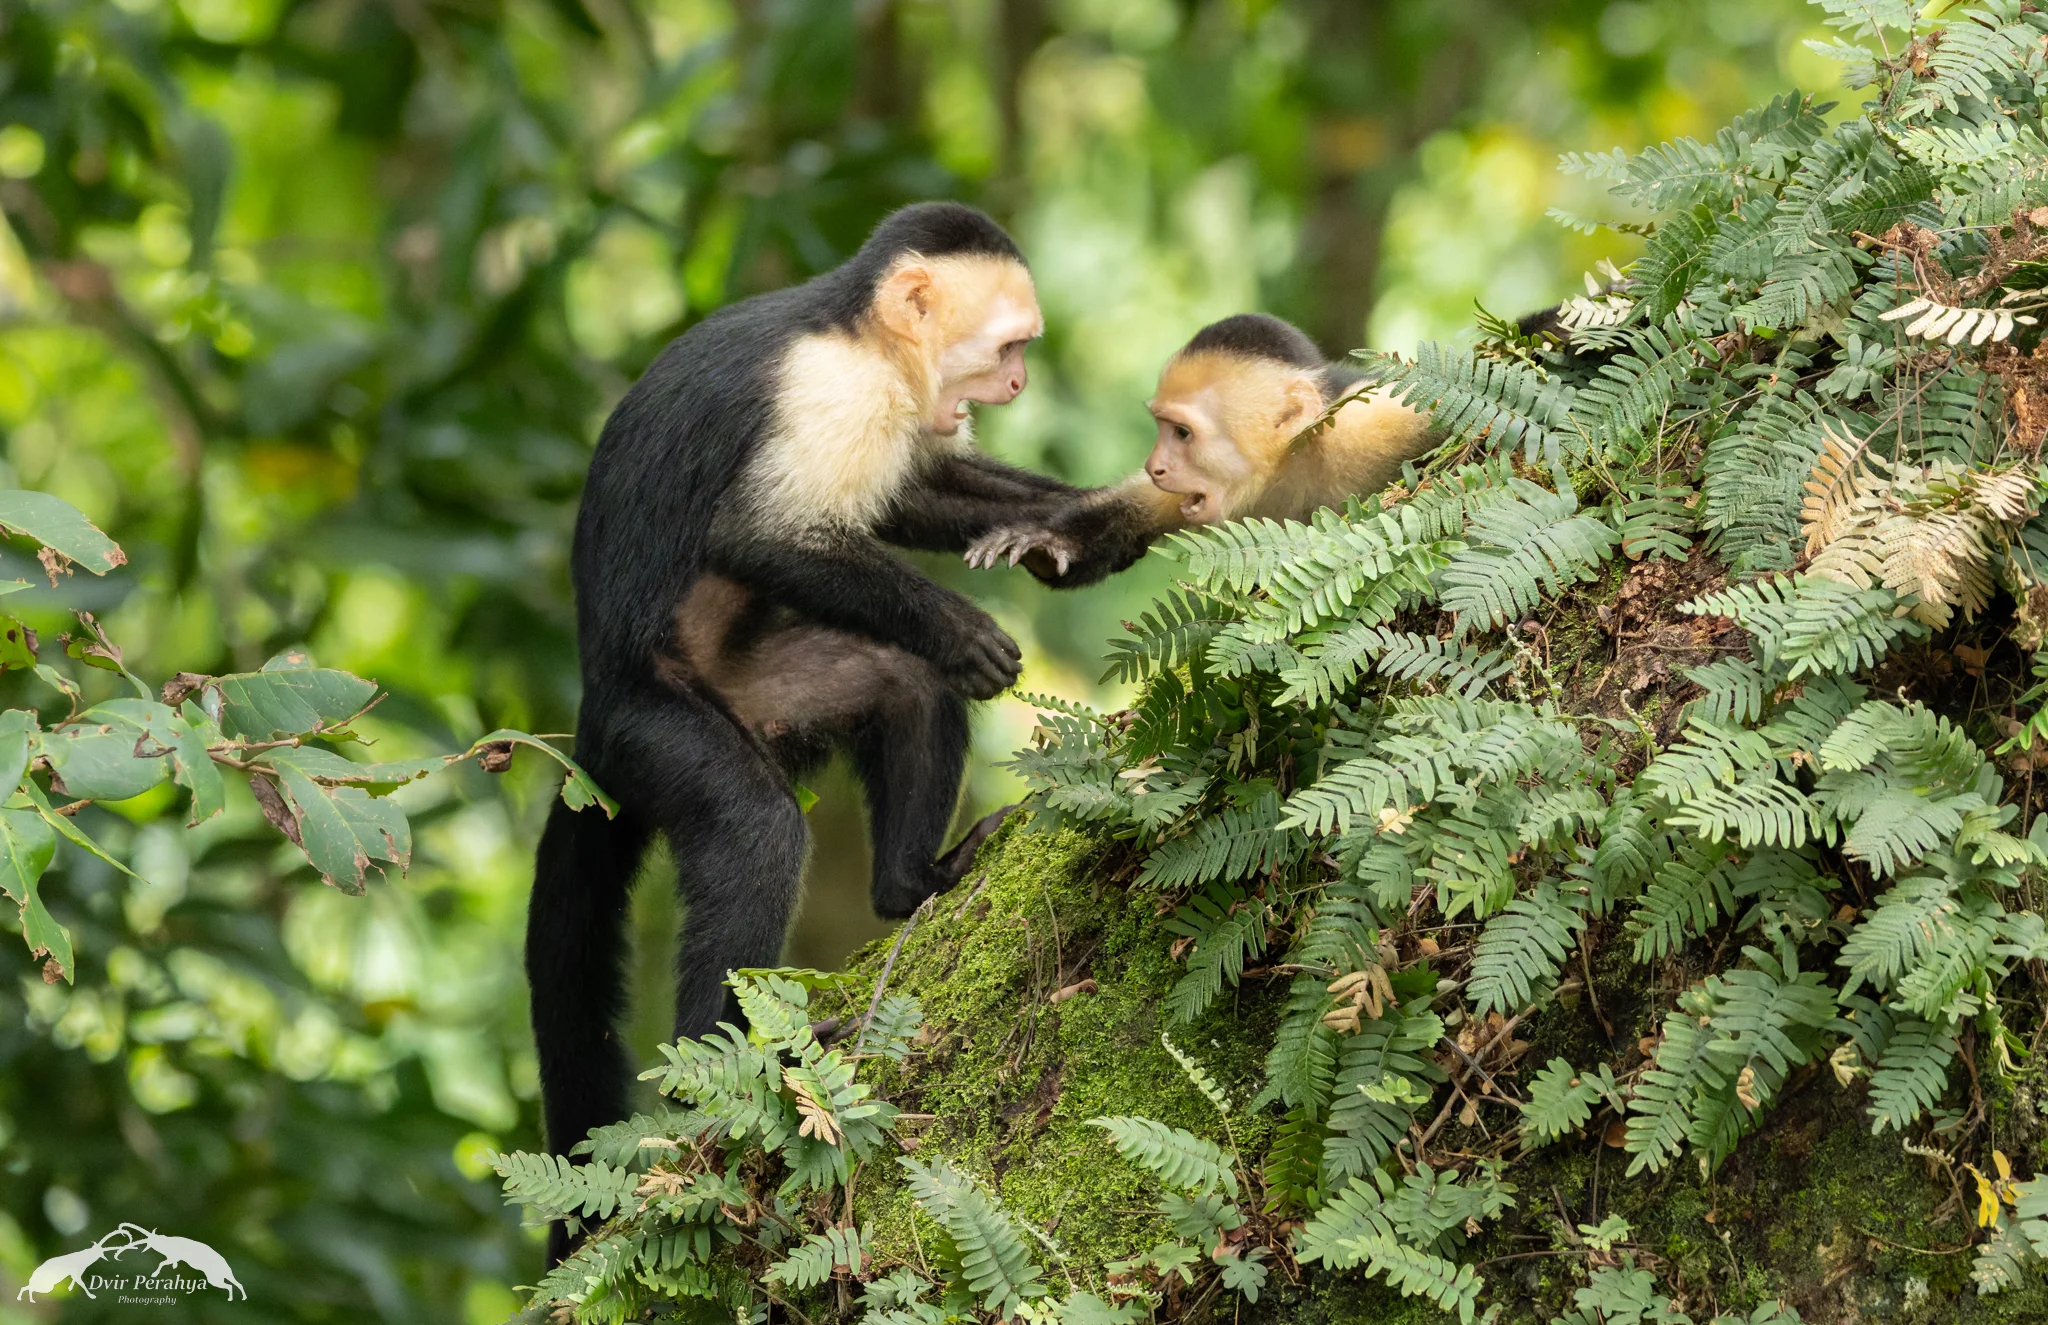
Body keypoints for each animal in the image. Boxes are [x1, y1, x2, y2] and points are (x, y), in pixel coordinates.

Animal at [528, 203, 1089, 1261]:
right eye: (1009, 349)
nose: (1017, 386)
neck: (859, 334)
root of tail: (589, 724)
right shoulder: (828, 389)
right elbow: (760, 536)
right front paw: (961, 624)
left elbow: (913, 493)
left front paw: (1096, 514)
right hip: (654, 728)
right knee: (754, 830)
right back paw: (724, 1067)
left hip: (767, 690)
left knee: (906, 686)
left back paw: (914, 881)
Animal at [964, 313, 1438, 586]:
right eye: (1162, 429)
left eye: (1182, 434)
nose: (1154, 466)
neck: (1288, 463)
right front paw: (1049, 544)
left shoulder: (1364, 427)